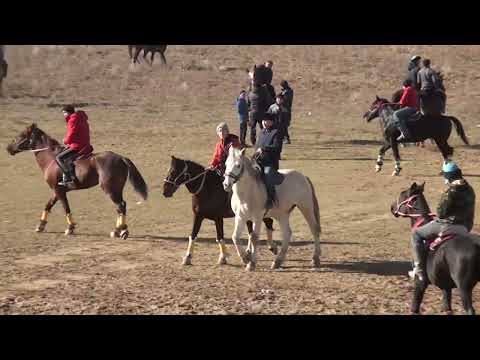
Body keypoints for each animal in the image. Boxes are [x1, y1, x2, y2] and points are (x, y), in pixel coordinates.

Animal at [5, 124, 148, 239]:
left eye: (21, 135)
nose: (8, 148)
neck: (50, 158)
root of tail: (121, 158)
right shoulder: (57, 190)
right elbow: (48, 205)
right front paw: (40, 226)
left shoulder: (59, 191)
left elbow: (66, 207)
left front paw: (70, 228)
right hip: (117, 189)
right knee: (121, 206)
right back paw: (118, 230)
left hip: (109, 189)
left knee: (120, 206)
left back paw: (121, 231)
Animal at [390, 183, 480, 316]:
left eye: (402, 194)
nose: (392, 207)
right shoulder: (446, 287)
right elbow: (447, 306)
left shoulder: (420, 283)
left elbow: (415, 306)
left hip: (464, 288)